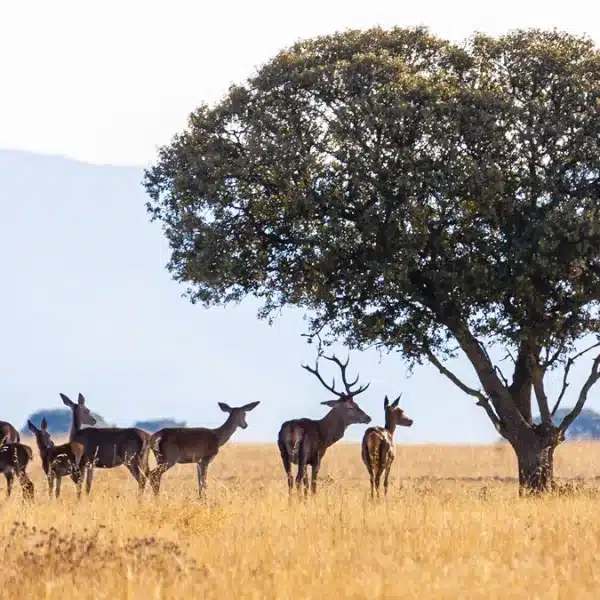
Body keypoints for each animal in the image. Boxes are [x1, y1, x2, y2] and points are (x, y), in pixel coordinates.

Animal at [278, 354, 372, 500]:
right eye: (351, 406)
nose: (368, 417)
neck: (325, 435)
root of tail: (292, 429)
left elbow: (306, 483)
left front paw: (305, 500)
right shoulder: (317, 457)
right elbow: (312, 484)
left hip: (283, 452)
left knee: (290, 479)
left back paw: (291, 502)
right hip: (303, 451)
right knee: (297, 479)